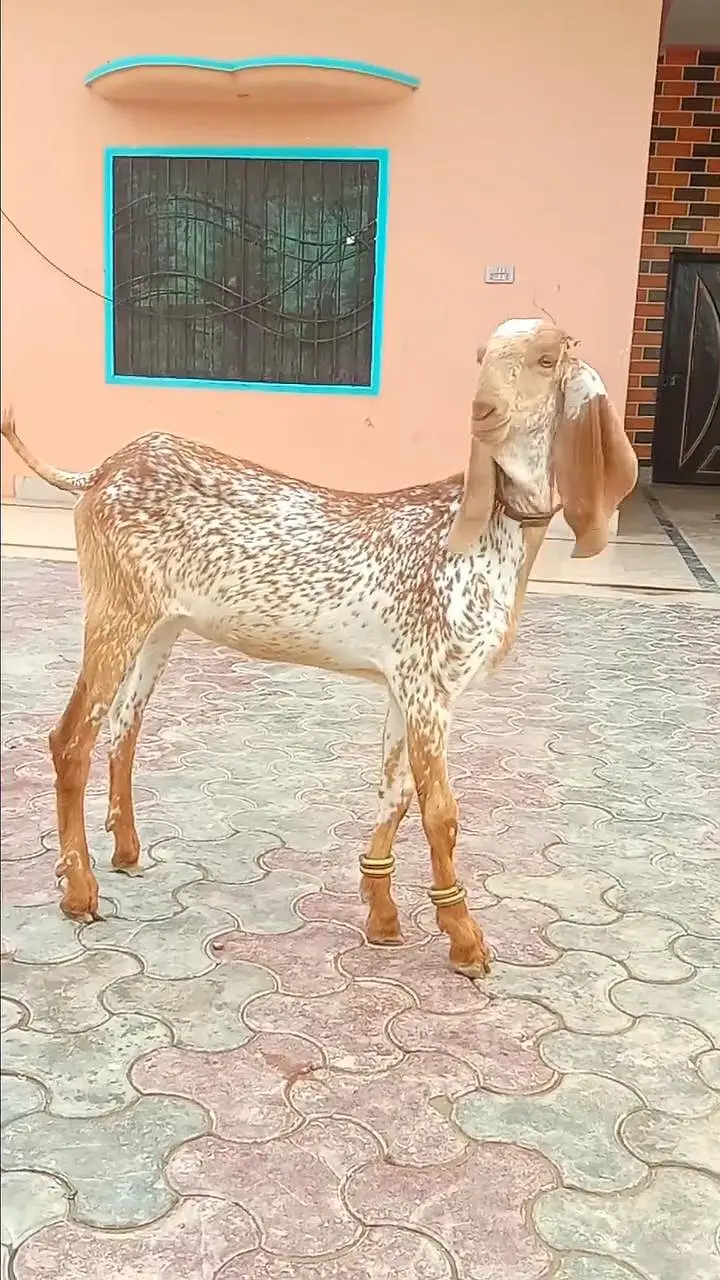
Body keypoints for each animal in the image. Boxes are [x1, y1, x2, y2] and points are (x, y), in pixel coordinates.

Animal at [1, 318, 637, 978]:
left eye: (546, 359)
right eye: (483, 355)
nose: (483, 411)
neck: (486, 535)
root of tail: (102, 470)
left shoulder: (403, 685)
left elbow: (394, 795)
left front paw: (382, 916)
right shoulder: (430, 687)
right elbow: (441, 813)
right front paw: (464, 940)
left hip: (159, 625)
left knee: (124, 727)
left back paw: (126, 851)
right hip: (113, 610)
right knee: (71, 739)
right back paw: (80, 892)